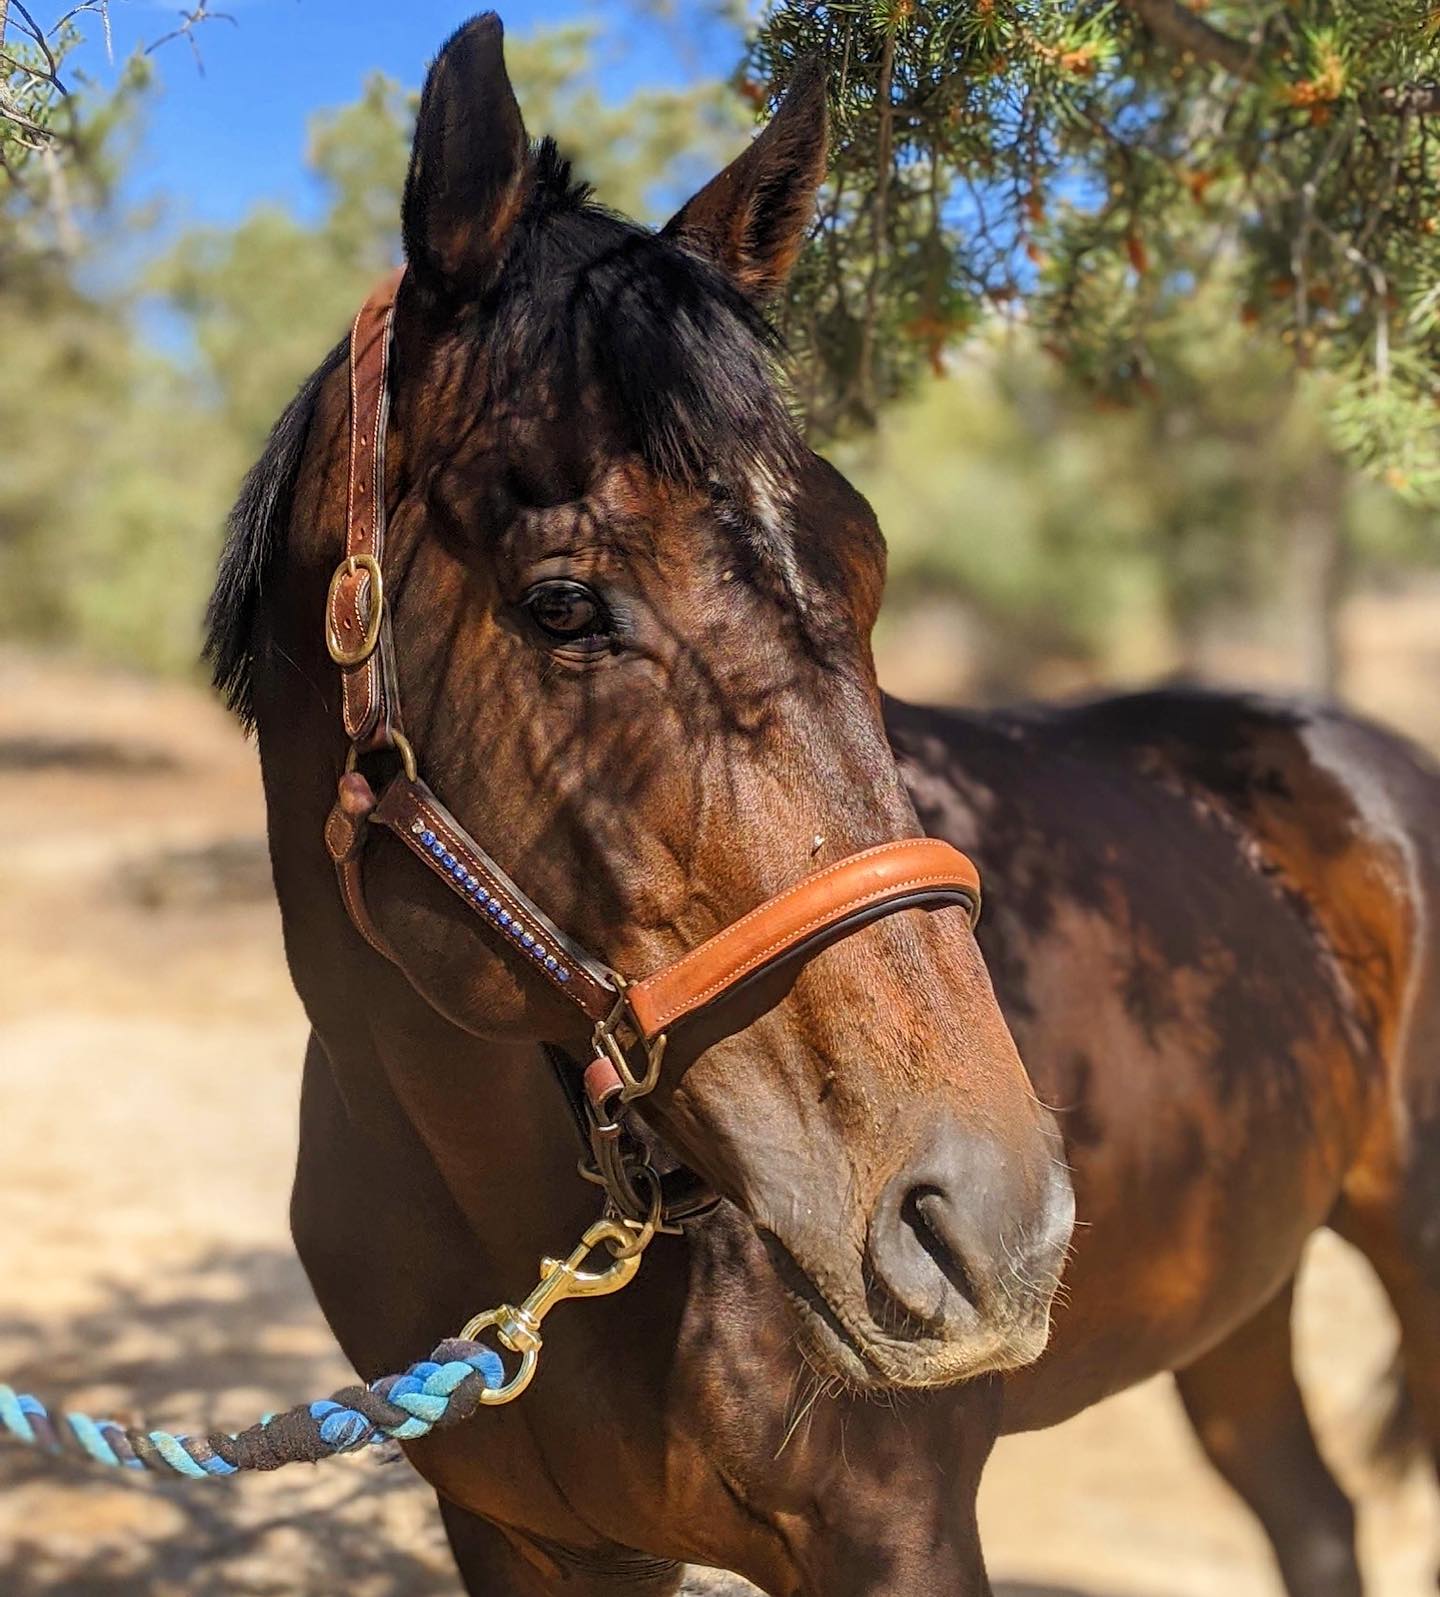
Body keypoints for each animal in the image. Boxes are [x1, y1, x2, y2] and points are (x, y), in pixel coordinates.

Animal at [209, 15, 1440, 1595]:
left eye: (867, 569)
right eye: (563, 603)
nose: (992, 1220)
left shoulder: (897, 1531)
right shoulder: (523, 1539)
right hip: (1239, 1294)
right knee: (1310, 1509)